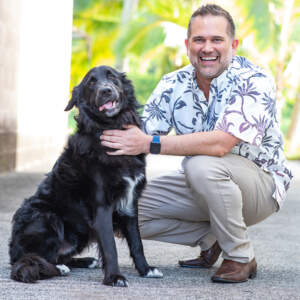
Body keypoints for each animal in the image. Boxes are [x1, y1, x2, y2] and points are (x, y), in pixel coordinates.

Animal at [8, 65, 163, 286]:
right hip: (46, 217)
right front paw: (114, 277)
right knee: (33, 258)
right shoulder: (102, 207)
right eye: (91, 82)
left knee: (58, 256)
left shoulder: (130, 204)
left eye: (112, 77)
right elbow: (110, 247)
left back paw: (84, 261)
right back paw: (58, 268)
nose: (106, 90)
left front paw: (146, 269)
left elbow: (136, 242)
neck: (109, 126)